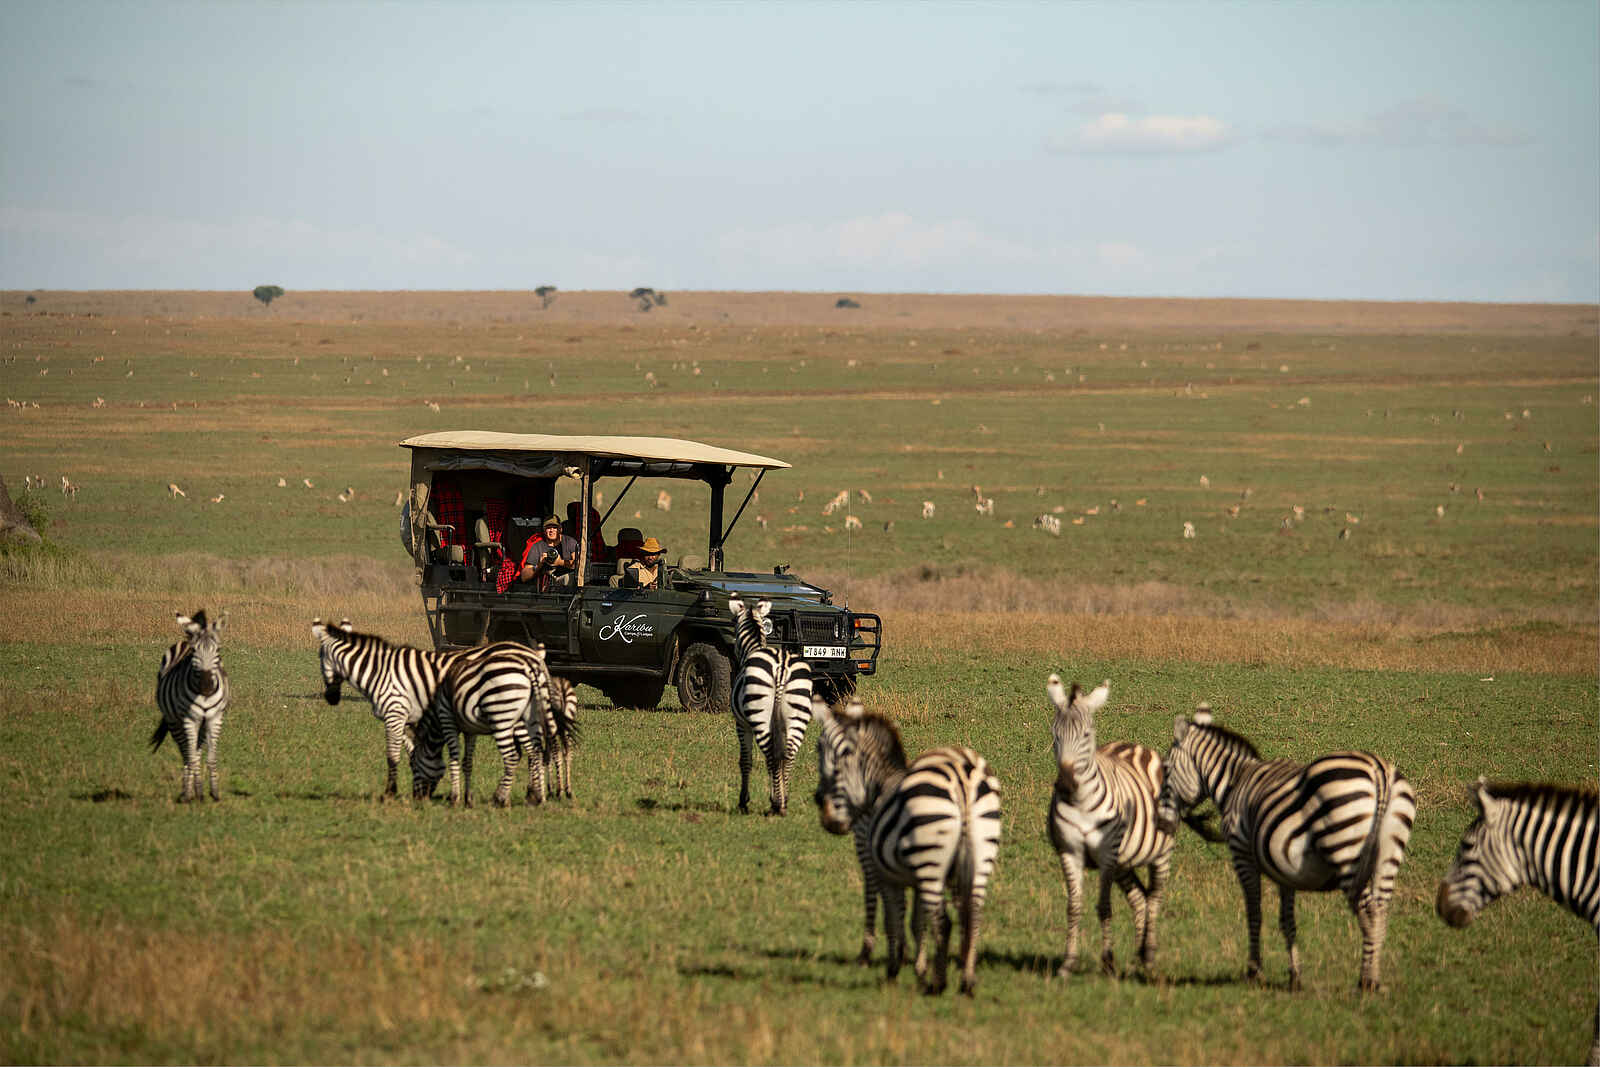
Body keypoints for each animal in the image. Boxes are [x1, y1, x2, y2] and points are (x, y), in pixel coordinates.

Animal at [152, 609, 231, 803]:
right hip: (175, 722)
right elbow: (191, 757)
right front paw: (197, 793)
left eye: (218, 650)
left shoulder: (215, 719)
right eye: (195, 651)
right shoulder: (189, 719)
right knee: (186, 752)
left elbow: (211, 757)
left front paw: (214, 793)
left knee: (195, 750)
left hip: (200, 723)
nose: (207, 686)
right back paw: (188, 792)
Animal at [411, 641, 553, 807]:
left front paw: (456, 798)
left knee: (518, 755)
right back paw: (536, 795)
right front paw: (468, 798)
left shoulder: (446, 717)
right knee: (535, 752)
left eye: (412, 765)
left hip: (509, 717)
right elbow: (467, 761)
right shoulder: (469, 728)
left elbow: (454, 757)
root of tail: (535, 657)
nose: (417, 798)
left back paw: (511, 796)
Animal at [726, 595, 813, 815]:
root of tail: (781, 666)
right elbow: (779, 758)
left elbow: (746, 761)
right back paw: (784, 802)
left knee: (771, 756)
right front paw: (778, 794)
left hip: (759, 716)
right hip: (797, 715)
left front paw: (743, 801)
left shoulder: (742, 724)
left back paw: (776, 805)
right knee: (788, 755)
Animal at [813, 698, 1002, 996]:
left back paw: (938, 984)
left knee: (944, 922)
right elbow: (917, 922)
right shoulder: (912, 877)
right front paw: (918, 965)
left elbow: (892, 916)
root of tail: (963, 779)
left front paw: (894, 965)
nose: (828, 817)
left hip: (930, 862)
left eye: (820, 749)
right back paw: (967, 982)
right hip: (980, 854)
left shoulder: (883, 870)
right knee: (973, 913)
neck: (879, 783)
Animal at [1156, 705, 1416, 991]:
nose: (1163, 824)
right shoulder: (1285, 869)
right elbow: (1287, 921)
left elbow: (1254, 911)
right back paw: (1375, 979)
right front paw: (1294, 975)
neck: (1235, 783)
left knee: (1368, 910)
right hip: (1389, 853)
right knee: (1380, 909)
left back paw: (1366, 981)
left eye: (1166, 770)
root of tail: (1380, 773)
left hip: (1346, 847)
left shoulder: (1242, 853)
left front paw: (1254, 971)